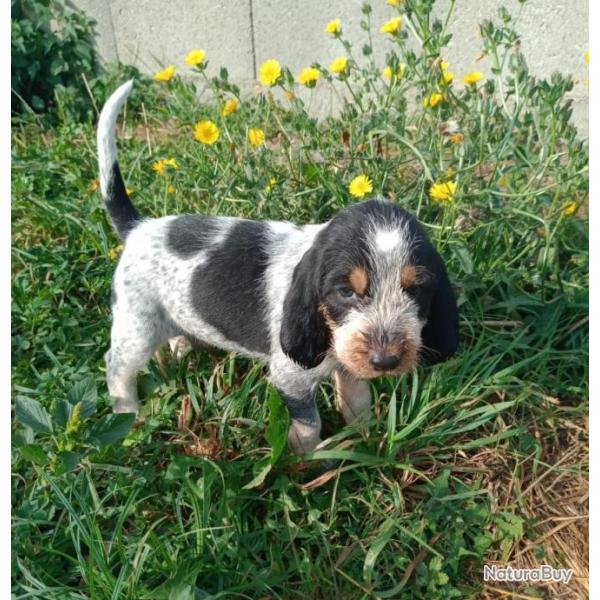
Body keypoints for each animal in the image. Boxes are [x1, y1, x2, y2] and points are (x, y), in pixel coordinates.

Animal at [97, 81, 460, 454]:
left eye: (416, 289)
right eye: (345, 291)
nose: (387, 362)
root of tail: (137, 227)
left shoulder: (350, 366)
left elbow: (358, 401)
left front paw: (366, 440)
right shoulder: (291, 378)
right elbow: (310, 423)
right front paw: (311, 455)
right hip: (135, 327)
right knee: (117, 368)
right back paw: (128, 415)